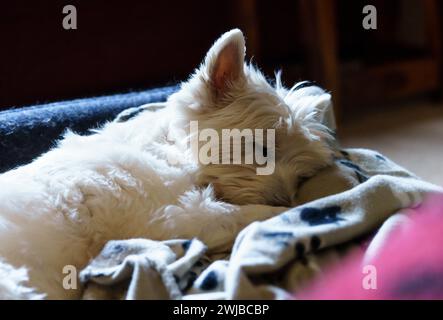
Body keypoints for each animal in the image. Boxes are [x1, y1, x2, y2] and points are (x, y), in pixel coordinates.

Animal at [0, 28, 334, 298]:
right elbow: (246, 215)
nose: (285, 198)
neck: (170, 148)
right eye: (261, 149)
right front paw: (288, 213)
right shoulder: (172, 215)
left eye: (301, 175)